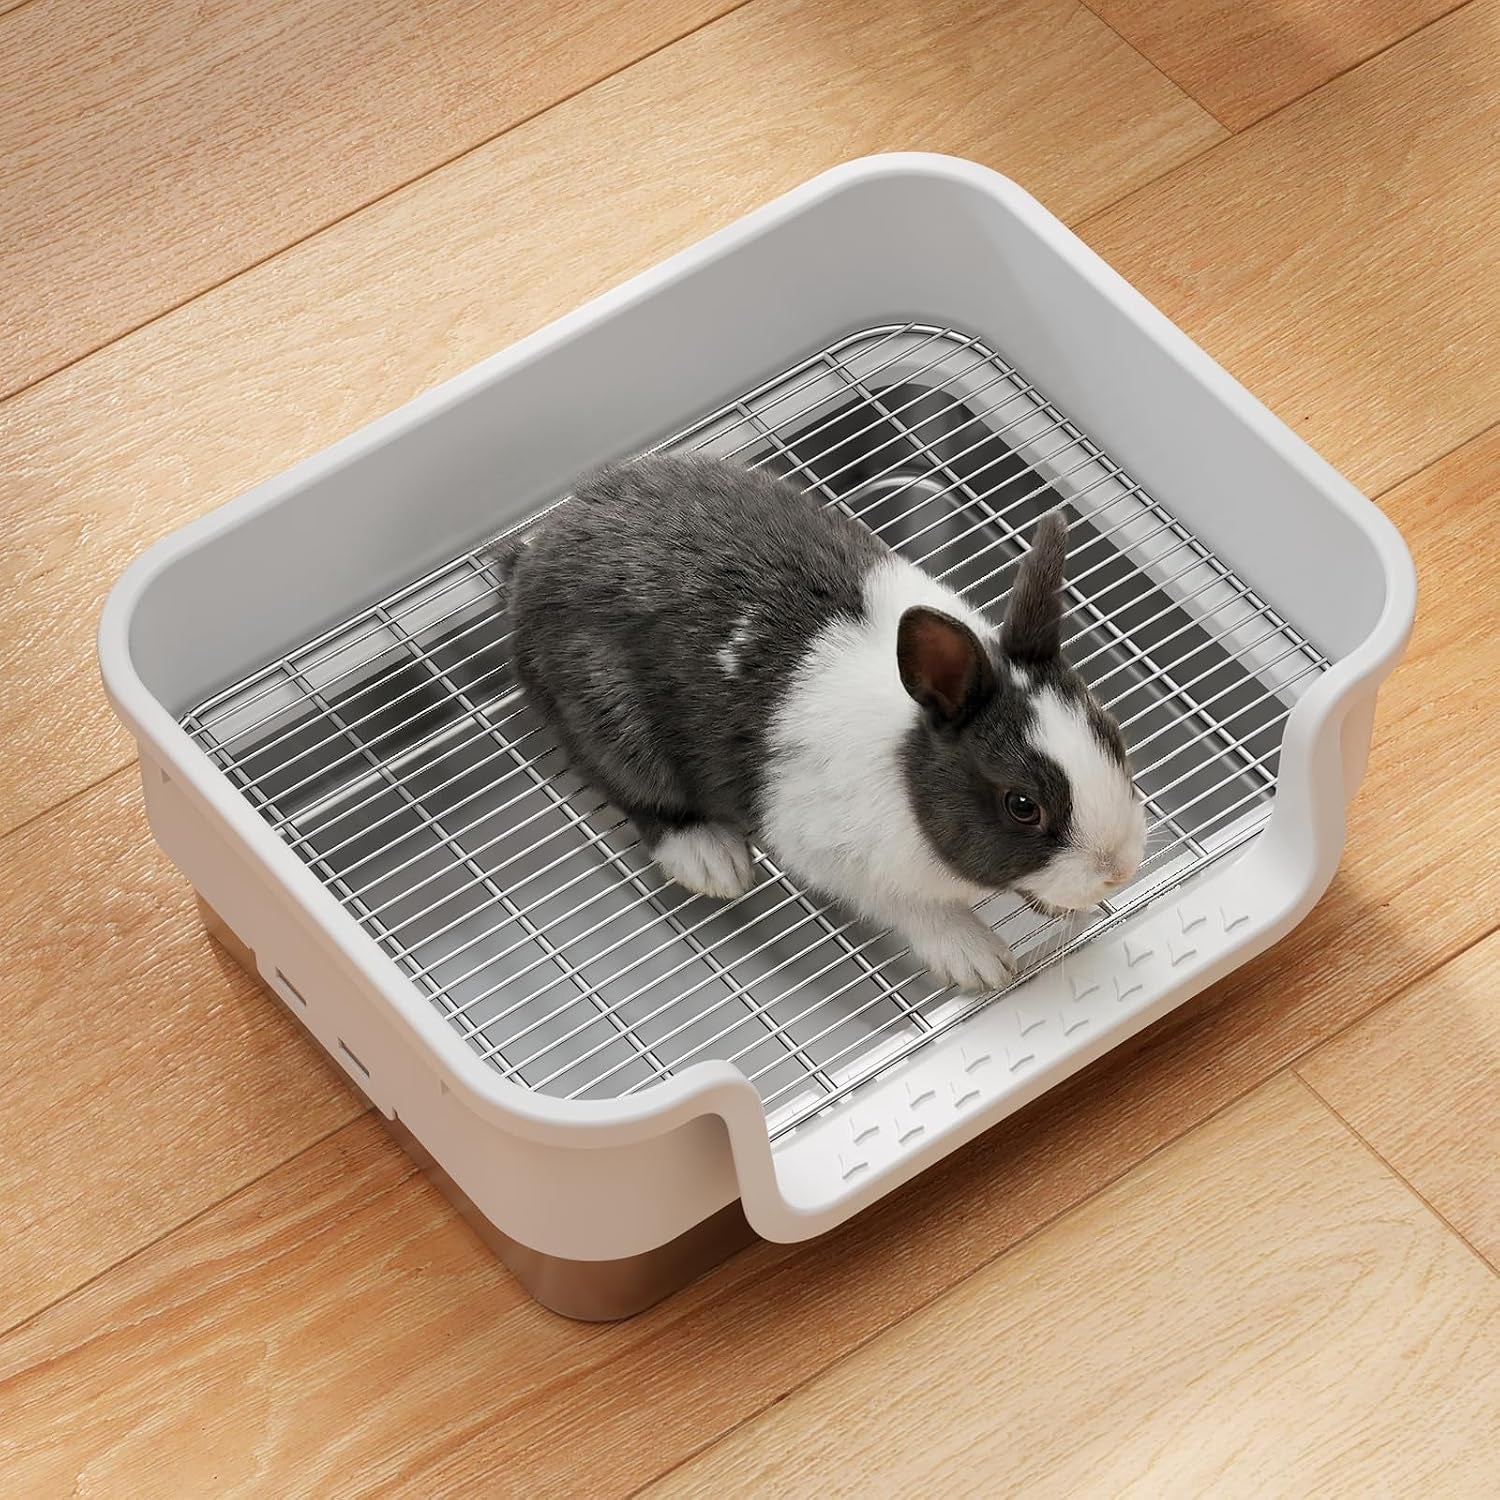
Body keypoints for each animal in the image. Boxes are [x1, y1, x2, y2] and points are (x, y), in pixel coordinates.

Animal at [496, 453, 1145, 994]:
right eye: (1021, 805)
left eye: (1109, 733)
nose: (1118, 873)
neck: (907, 761)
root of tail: (531, 565)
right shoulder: (832, 855)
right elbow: (916, 908)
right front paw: (978, 957)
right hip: (613, 720)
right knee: (631, 789)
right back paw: (712, 860)